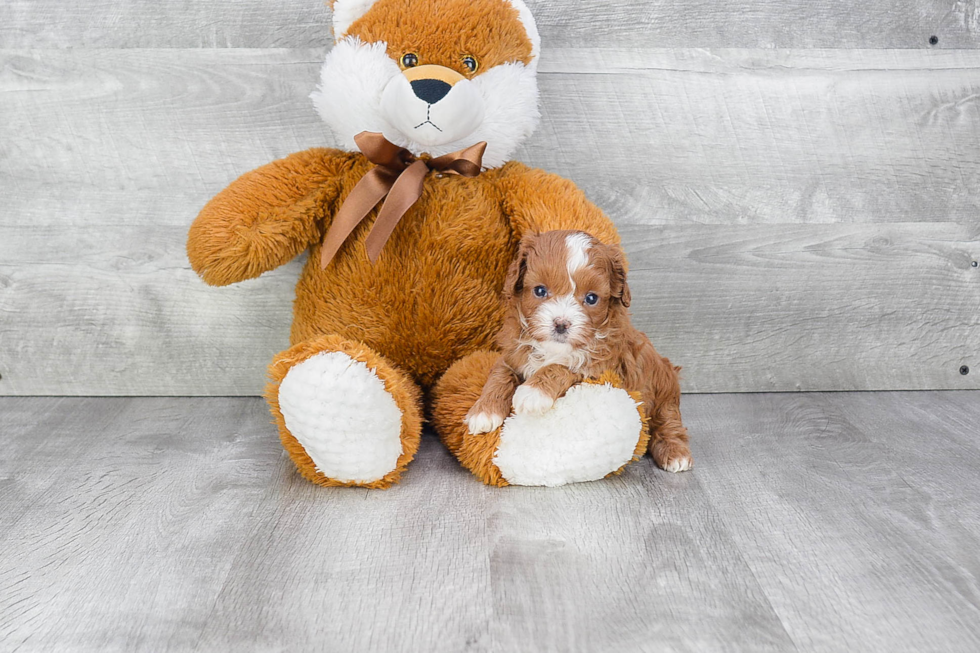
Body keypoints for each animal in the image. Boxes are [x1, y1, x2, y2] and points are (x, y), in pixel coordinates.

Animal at [466, 232, 688, 472]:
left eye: (591, 298)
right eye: (540, 291)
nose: (561, 324)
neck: (554, 349)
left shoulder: (604, 370)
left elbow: (563, 367)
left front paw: (533, 392)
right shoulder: (512, 355)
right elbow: (499, 374)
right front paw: (483, 411)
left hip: (664, 394)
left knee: (669, 422)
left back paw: (676, 454)